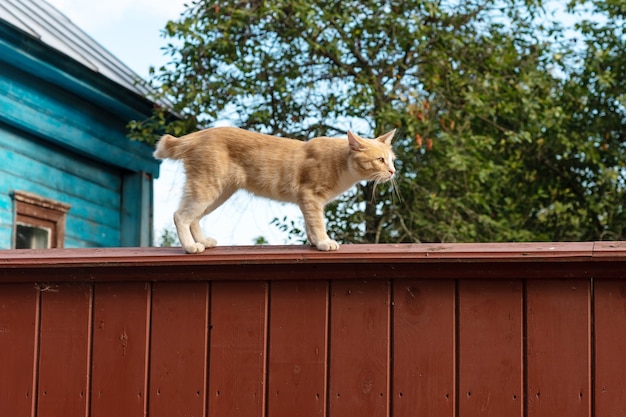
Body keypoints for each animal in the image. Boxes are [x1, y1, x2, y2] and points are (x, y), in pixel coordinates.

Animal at [152, 125, 394, 252]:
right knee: (180, 216)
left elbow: (310, 225)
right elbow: (317, 223)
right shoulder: (311, 196)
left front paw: (315, 242)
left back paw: (202, 241)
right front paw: (324, 242)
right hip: (206, 189)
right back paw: (191, 246)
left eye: (392, 160)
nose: (393, 172)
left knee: (194, 218)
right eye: (380, 160)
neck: (342, 164)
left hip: (218, 194)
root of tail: (199, 134)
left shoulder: (307, 201)